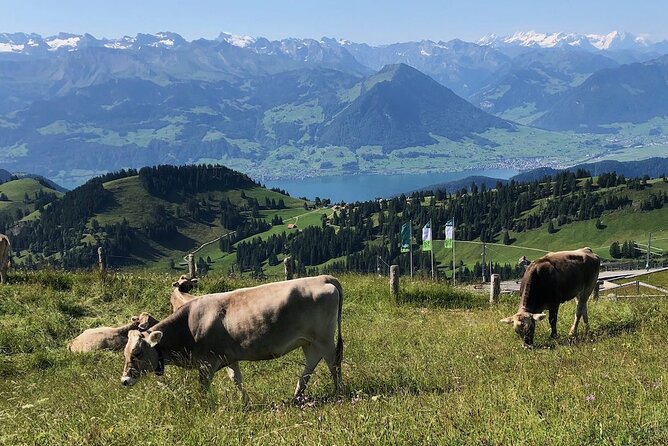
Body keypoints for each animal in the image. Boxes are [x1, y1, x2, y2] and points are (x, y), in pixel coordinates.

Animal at [120, 276, 348, 404]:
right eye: (125, 353)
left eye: (137, 353)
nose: (124, 380)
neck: (189, 324)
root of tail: (323, 278)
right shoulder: (230, 358)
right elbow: (236, 379)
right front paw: (245, 403)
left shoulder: (206, 363)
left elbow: (203, 387)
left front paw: (203, 406)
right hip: (309, 341)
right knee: (311, 364)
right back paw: (297, 396)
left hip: (325, 339)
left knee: (333, 363)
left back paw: (338, 393)